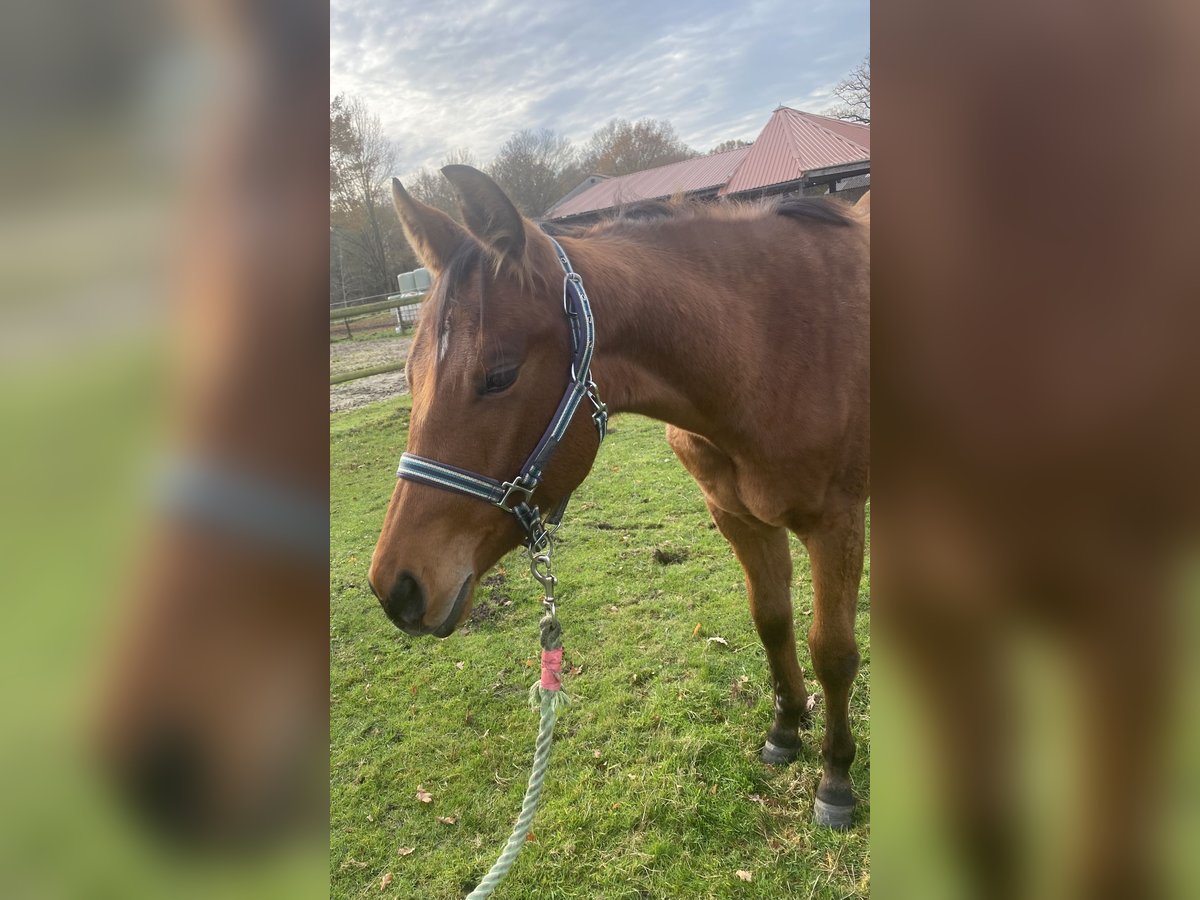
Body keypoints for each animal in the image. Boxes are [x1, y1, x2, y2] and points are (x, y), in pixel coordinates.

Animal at [369, 165, 869, 826]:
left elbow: (832, 652)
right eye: (408, 374)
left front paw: (836, 777)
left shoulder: (837, 523)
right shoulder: (738, 517)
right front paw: (786, 728)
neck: (772, 344)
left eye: (498, 376)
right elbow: (772, 621)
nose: (396, 587)